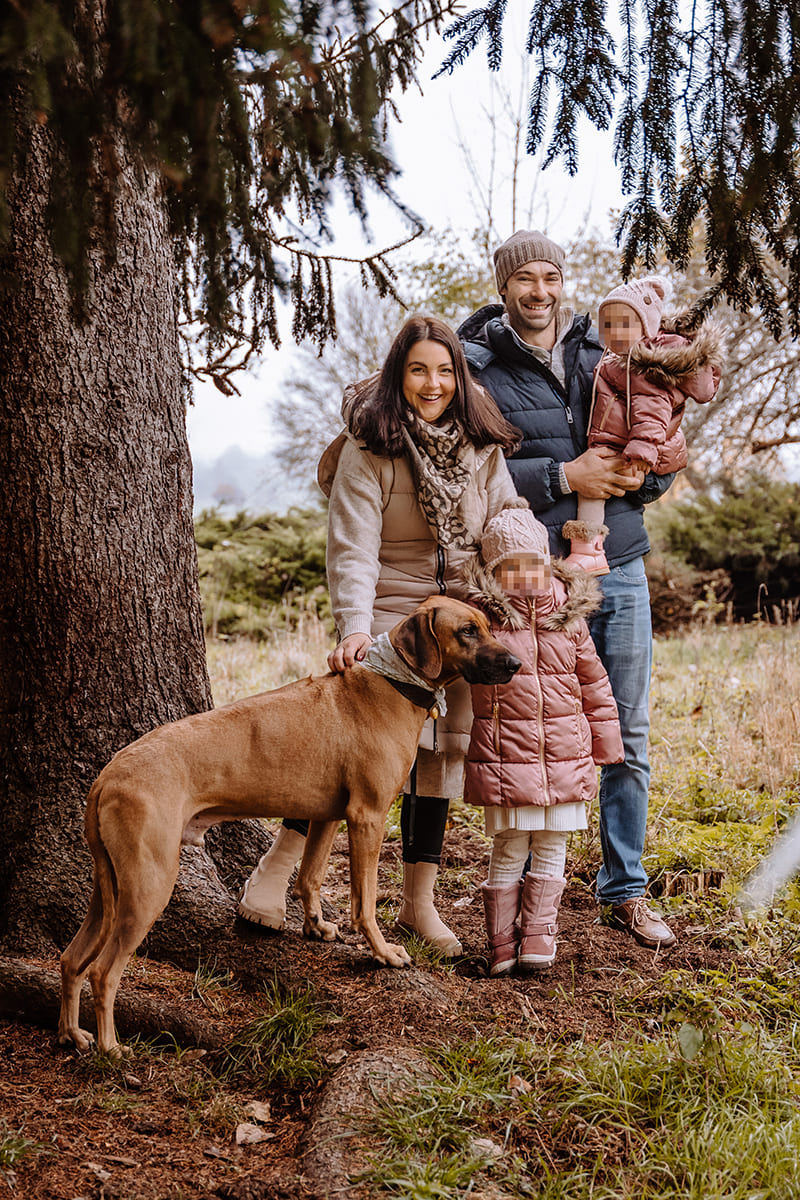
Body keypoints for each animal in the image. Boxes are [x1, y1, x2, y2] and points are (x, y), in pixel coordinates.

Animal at [56, 595, 520, 1056]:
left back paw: (73, 1034)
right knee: (103, 971)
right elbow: (365, 903)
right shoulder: (367, 818)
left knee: (72, 959)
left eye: (487, 625)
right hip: (147, 885)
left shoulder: (329, 816)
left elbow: (310, 877)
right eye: (467, 631)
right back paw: (110, 1047)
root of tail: (108, 775)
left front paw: (315, 926)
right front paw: (382, 952)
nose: (516, 663)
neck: (391, 682)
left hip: (108, 888)